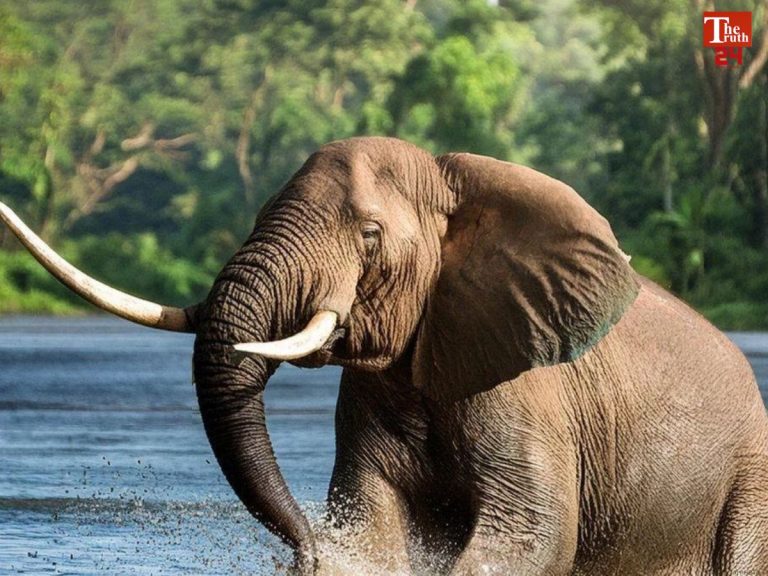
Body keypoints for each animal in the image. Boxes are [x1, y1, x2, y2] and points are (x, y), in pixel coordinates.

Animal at [1, 136, 767, 575]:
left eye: (369, 236)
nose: (308, 554)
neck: (456, 184)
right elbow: (375, 525)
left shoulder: (528, 392)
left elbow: (531, 536)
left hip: (750, 481)